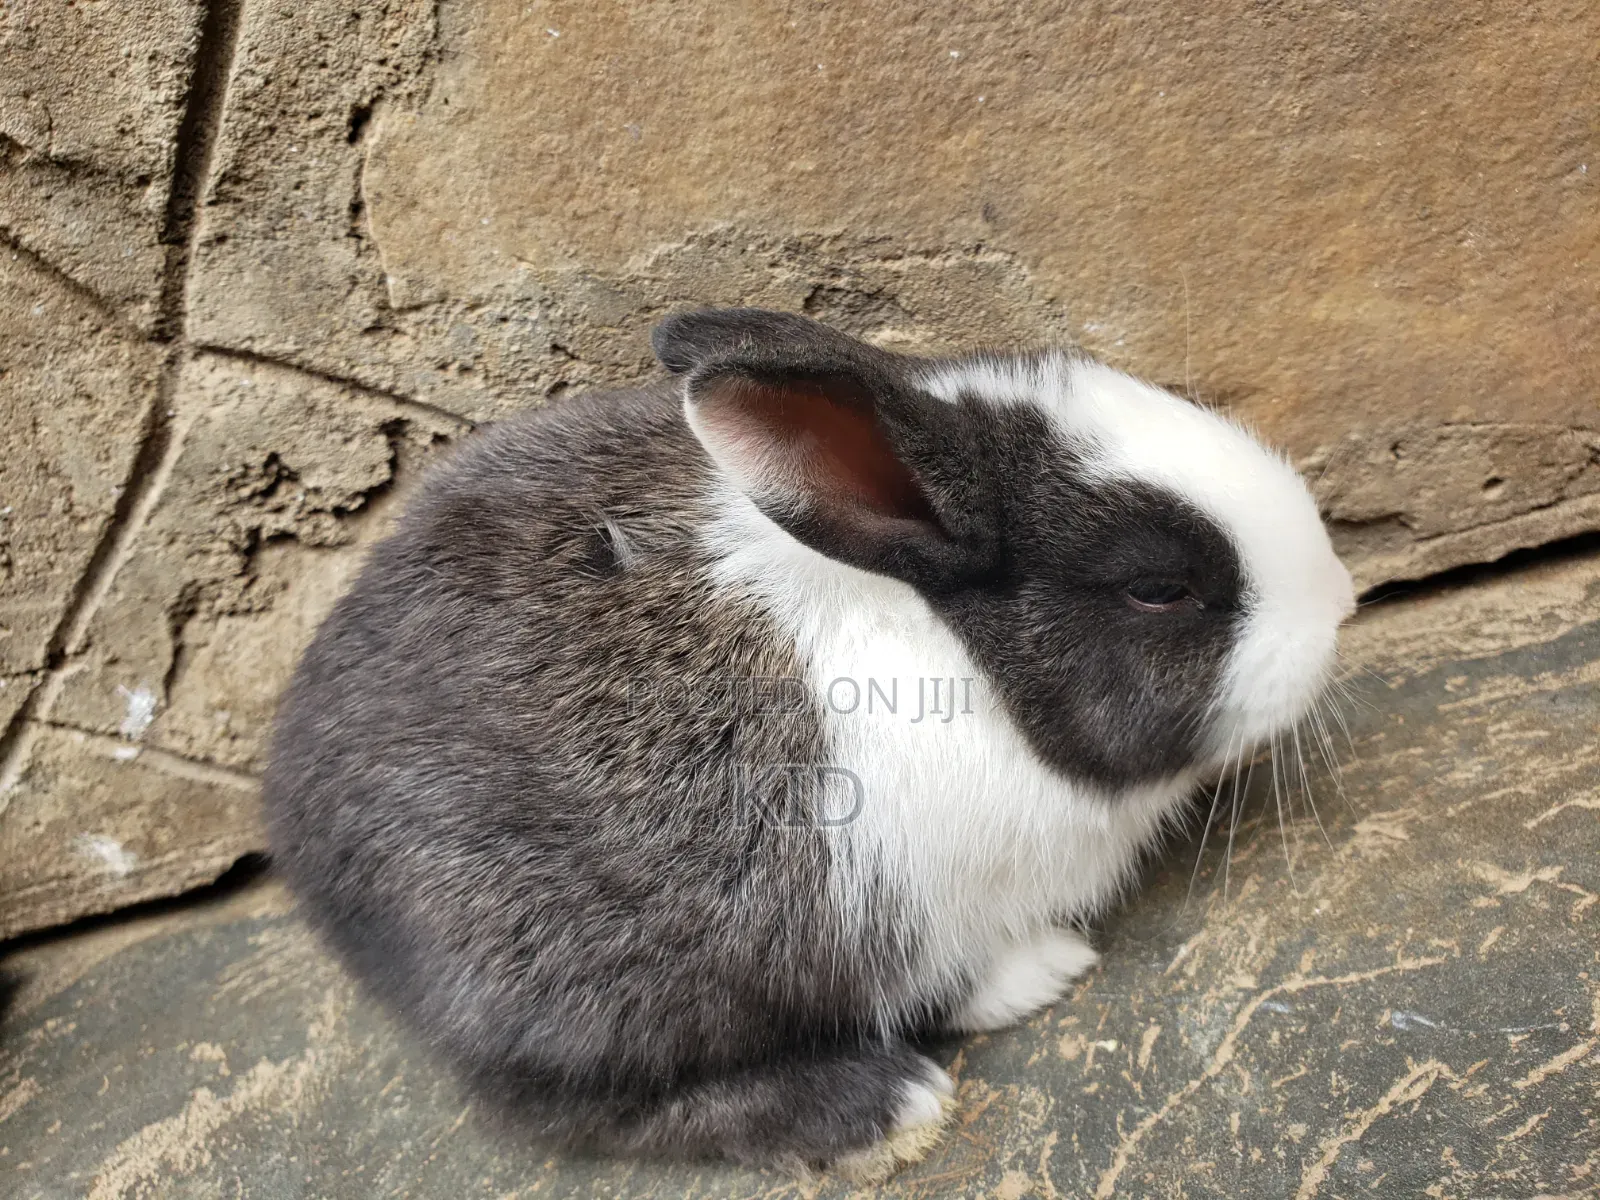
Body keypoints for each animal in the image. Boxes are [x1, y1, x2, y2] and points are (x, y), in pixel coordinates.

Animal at [264, 307, 1355, 1177]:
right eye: (1156, 588)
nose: (1342, 599)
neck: (954, 650)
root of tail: (301, 839)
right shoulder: (902, 905)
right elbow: (943, 971)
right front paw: (1044, 971)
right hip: (570, 986)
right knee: (583, 1110)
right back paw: (882, 1110)